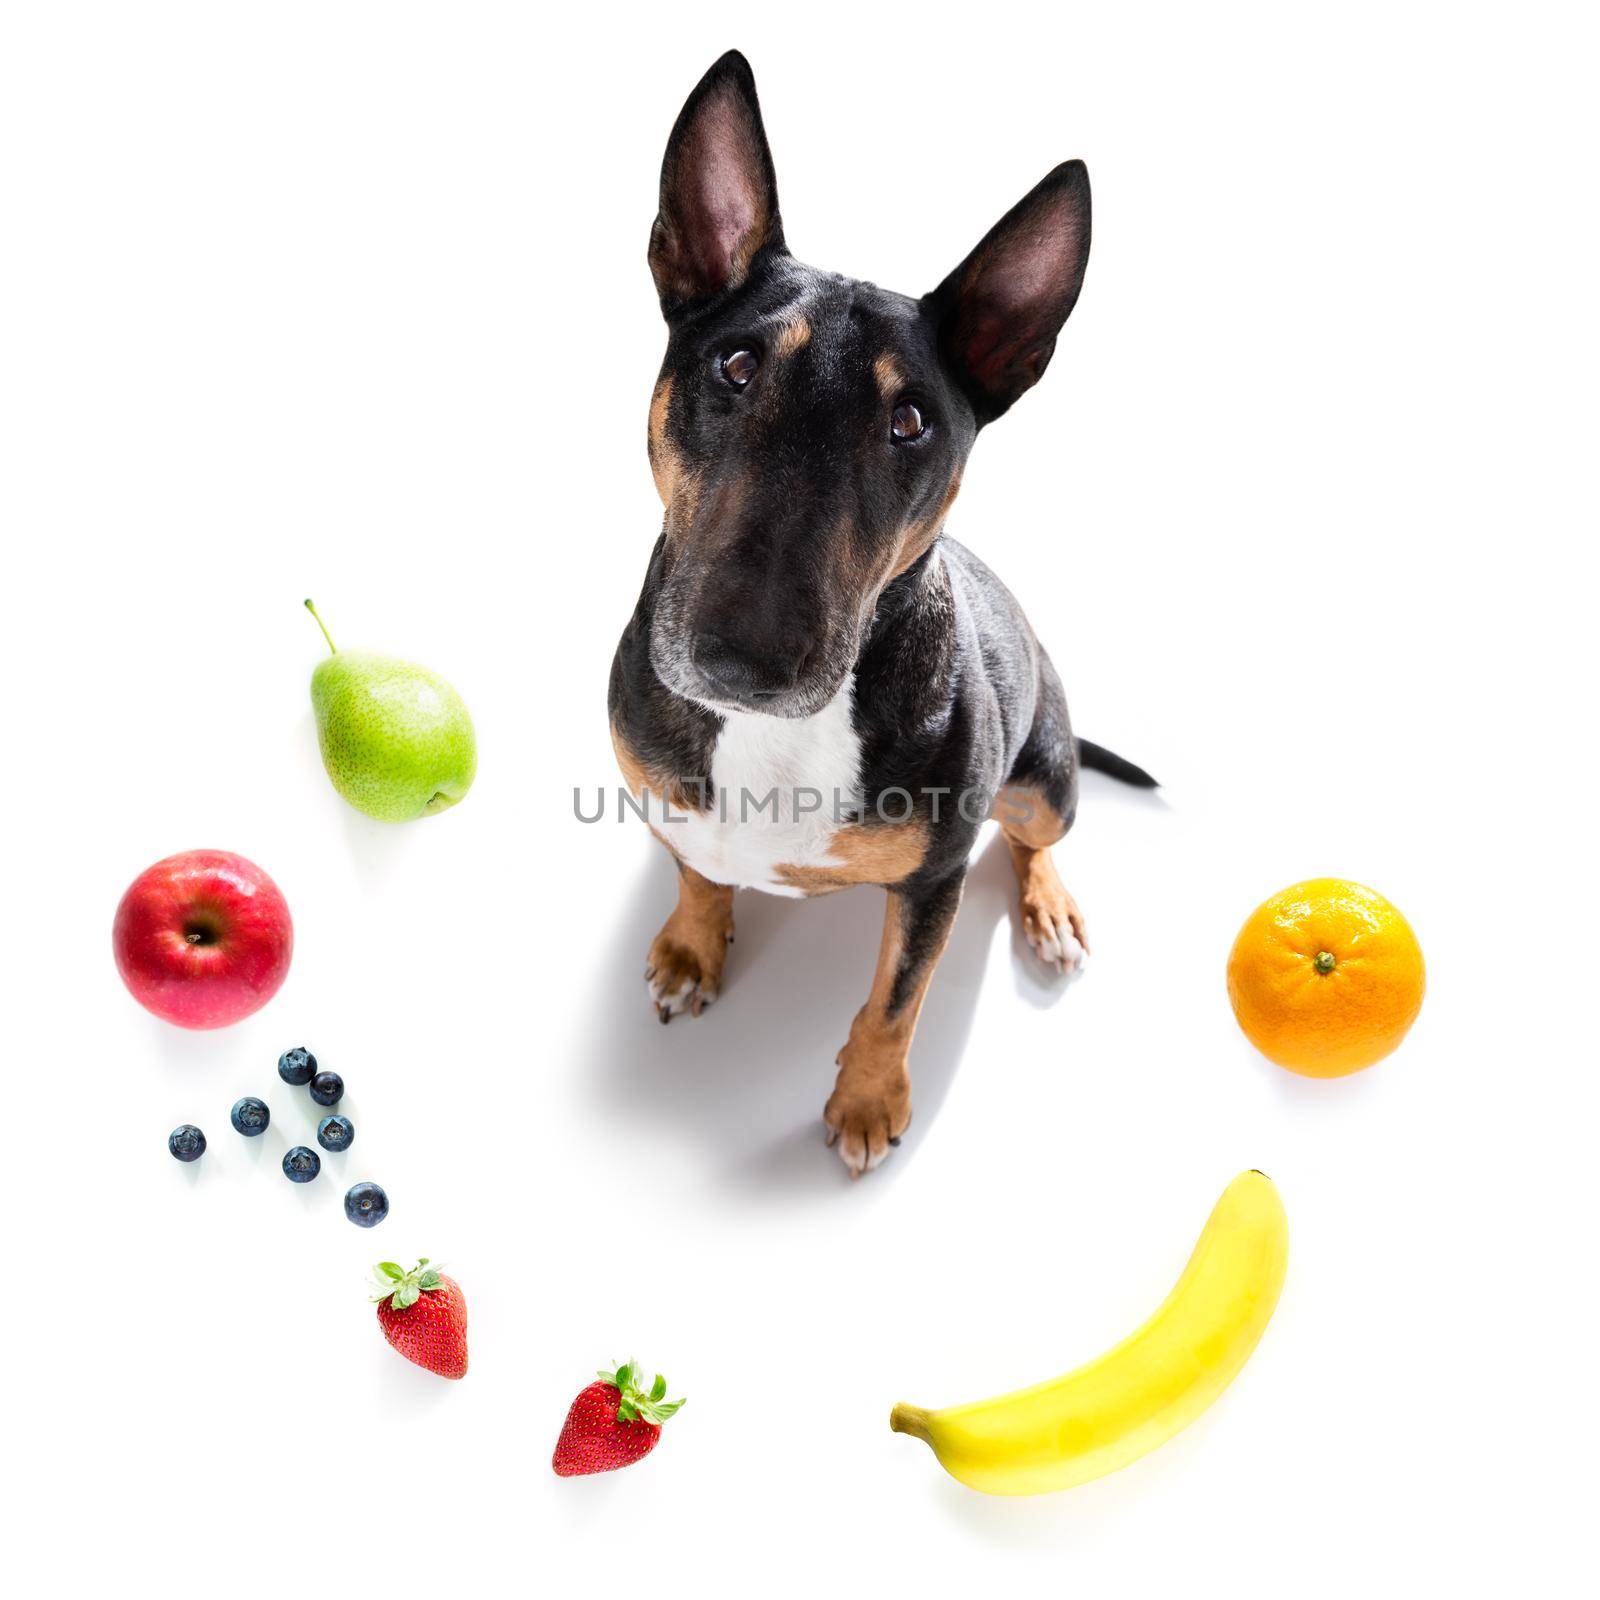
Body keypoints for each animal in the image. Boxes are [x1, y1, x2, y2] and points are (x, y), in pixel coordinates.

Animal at [604, 53, 1158, 1177]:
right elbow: (695, 874)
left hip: (1043, 773)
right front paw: (690, 947)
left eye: (909, 421)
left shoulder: (935, 879)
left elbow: (897, 1000)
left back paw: (1049, 908)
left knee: (1034, 837)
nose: (742, 659)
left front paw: (866, 1102)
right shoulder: (661, 794)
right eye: (736, 367)